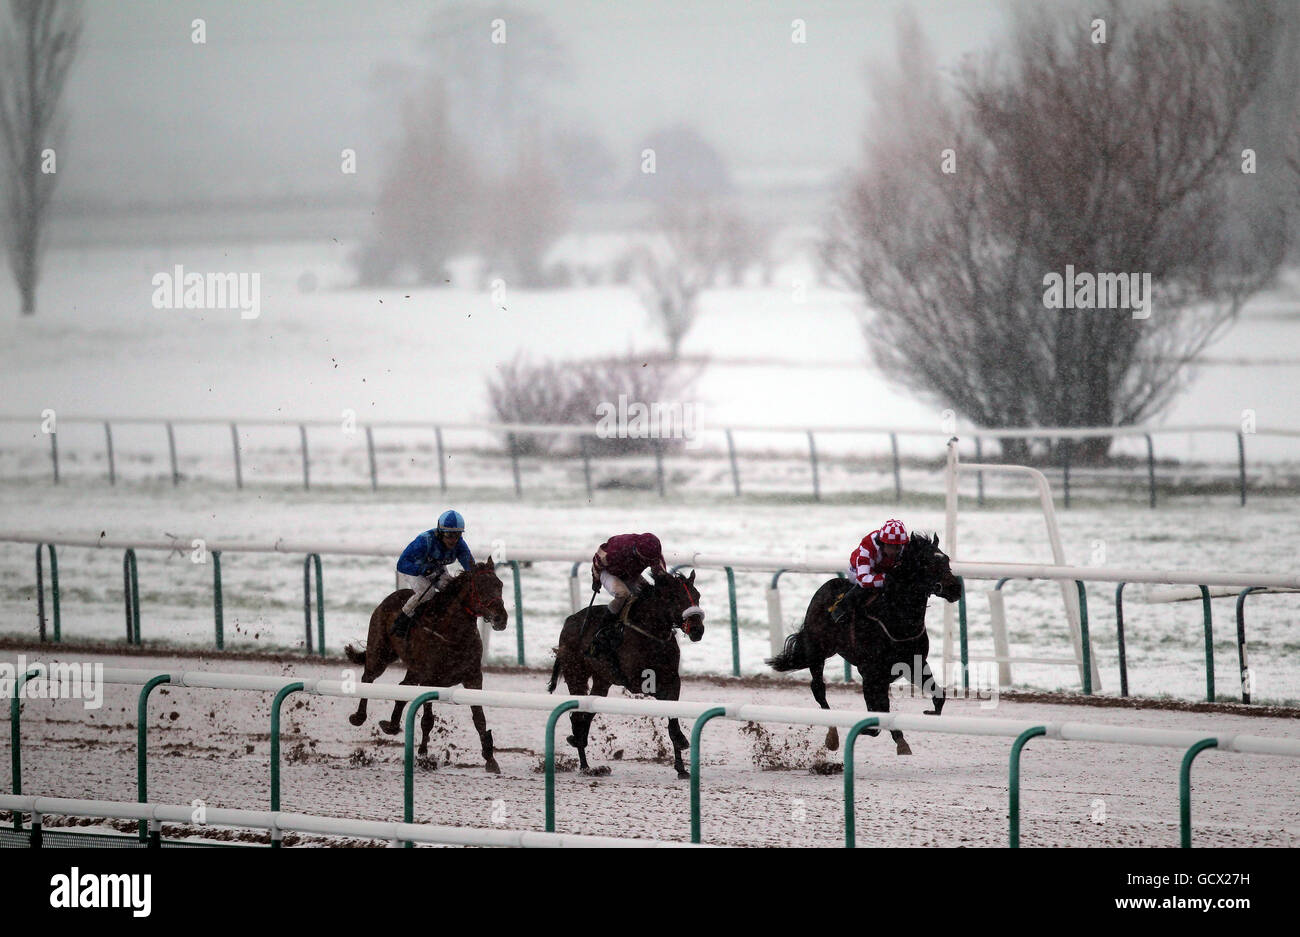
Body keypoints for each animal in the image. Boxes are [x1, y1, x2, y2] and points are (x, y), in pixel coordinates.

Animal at [345, 558, 506, 769]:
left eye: (500, 585)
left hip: (412, 670)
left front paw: (490, 758)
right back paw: (359, 717)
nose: (501, 618)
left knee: (402, 687)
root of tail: (387, 600)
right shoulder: (430, 680)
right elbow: (428, 720)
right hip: (380, 653)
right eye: (479, 588)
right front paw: (423, 755)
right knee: (368, 678)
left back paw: (392, 725)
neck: (453, 633)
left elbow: (479, 719)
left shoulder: (473, 677)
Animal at [551, 566, 712, 779]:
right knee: (577, 714)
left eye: (697, 595)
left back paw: (580, 742)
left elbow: (672, 716)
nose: (697, 630)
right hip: (575, 673)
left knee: (587, 713)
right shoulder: (637, 682)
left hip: (602, 680)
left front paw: (681, 766)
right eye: (675, 597)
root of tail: (568, 621)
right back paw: (585, 764)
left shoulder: (672, 679)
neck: (650, 631)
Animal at [759, 530, 967, 758]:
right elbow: (879, 715)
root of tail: (825, 587)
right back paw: (832, 735)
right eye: (926, 562)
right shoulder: (871, 673)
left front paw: (928, 714)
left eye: (946, 559)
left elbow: (939, 696)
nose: (955, 588)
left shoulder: (915, 664)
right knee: (818, 689)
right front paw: (892, 737)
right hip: (817, 651)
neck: (896, 619)